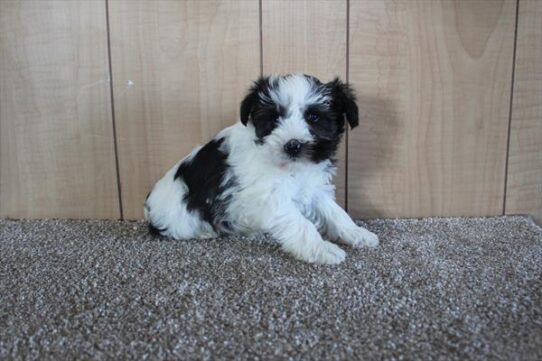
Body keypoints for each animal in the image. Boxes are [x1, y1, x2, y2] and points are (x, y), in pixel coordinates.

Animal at [147, 74, 380, 264]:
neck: (291, 168)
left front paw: (356, 233)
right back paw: (204, 233)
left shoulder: (313, 187)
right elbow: (300, 223)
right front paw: (321, 248)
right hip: (179, 218)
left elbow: (334, 211)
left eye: (314, 118)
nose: (293, 145)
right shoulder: (270, 196)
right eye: (274, 118)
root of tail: (149, 209)